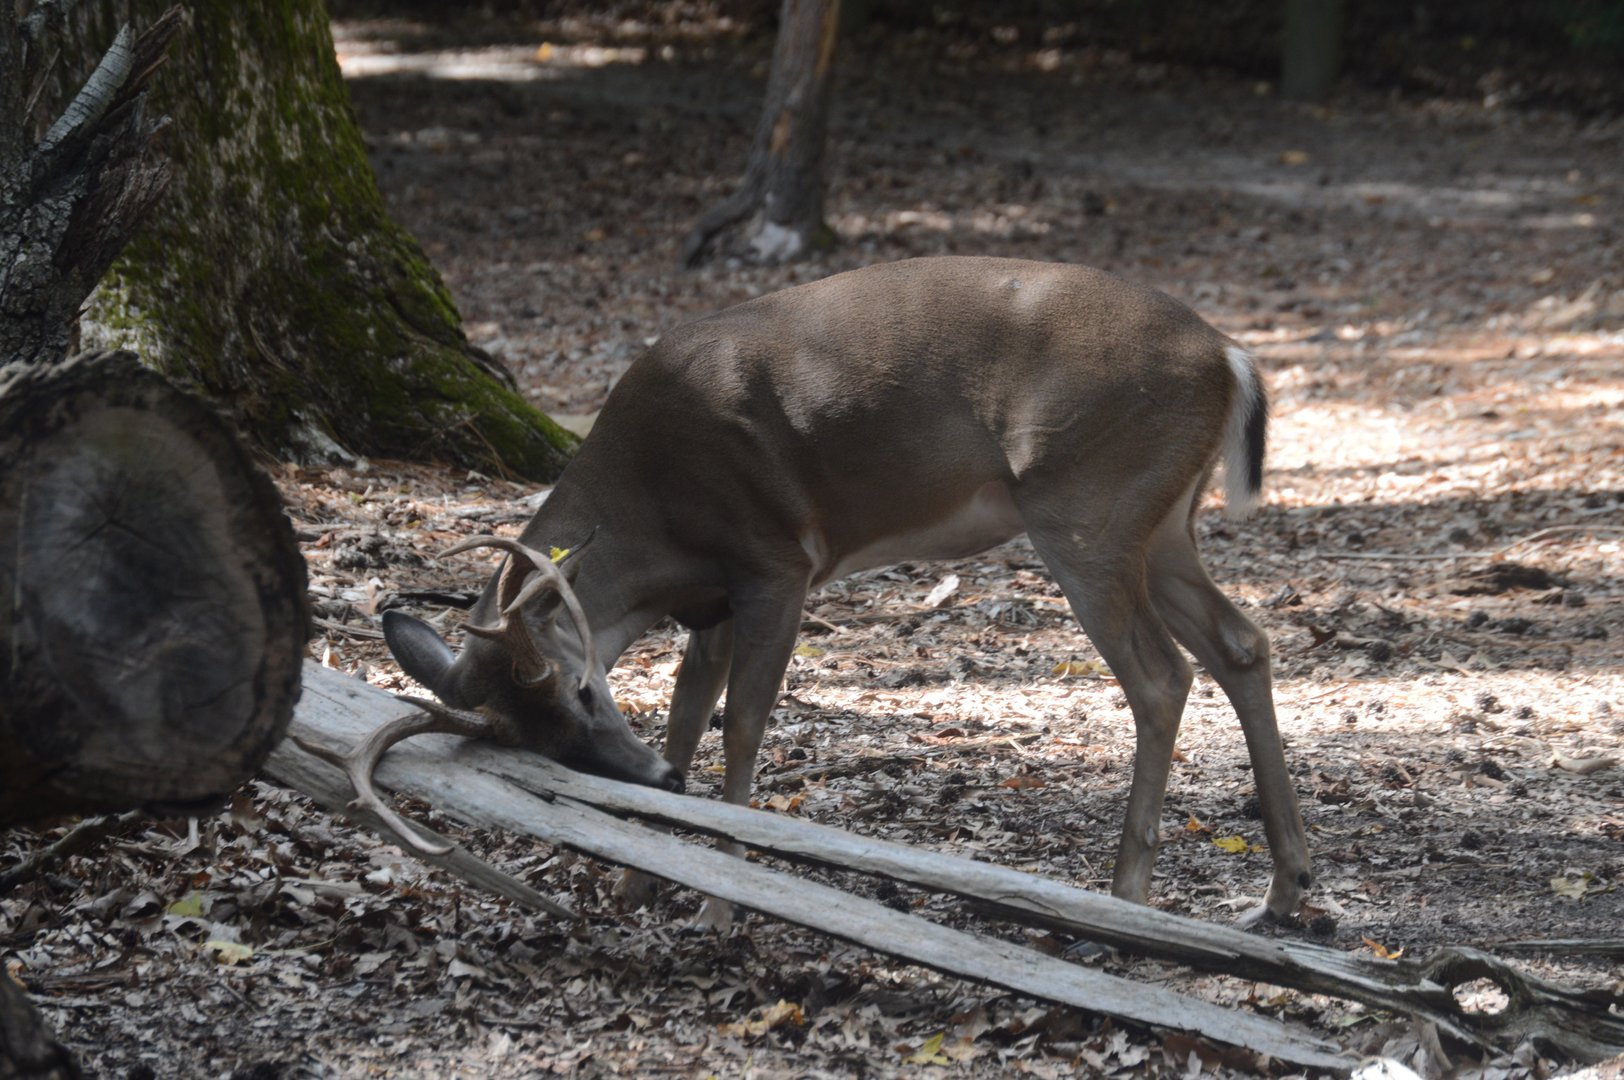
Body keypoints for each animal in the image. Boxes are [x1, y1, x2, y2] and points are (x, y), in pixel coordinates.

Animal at [308, 256, 1312, 931]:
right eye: (538, 742)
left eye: (586, 691)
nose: (651, 785)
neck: (651, 517)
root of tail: (1231, 357)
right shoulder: (710, 602)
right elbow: (686, 713)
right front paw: (639, 878)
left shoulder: (775, 564)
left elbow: (743, 725)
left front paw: (720, 901)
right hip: (1161, 523)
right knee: (1242, 643)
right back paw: (1285, 891)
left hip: (1087, 510)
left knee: (1162, 675)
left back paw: (1126, 898)